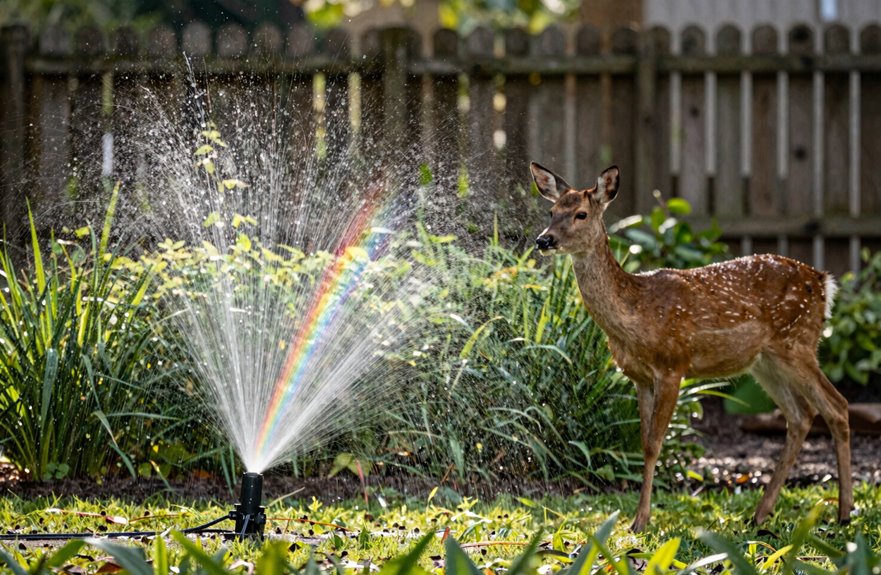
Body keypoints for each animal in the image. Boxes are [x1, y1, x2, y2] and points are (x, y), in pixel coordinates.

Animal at [530, 162, 853, 532]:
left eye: (581, 214)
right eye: (552, 211)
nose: (544, 240)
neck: (635, 315)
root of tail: (824, 282)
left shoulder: (673, 365)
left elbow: (655, 444)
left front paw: (641, 521)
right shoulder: (639, 377)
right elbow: (643, 442)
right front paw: (638, 518)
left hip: (797, 343)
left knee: (836, 406)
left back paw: (844, 513)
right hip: (765, 361)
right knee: (801, 415)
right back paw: (760, 514)